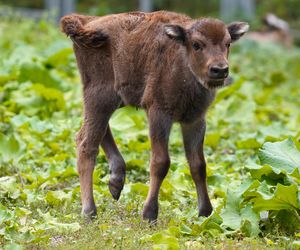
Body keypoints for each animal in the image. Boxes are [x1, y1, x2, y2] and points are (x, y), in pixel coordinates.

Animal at [60, 10, 248, 222]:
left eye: (228, 43)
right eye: (196, 44)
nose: (220, 69)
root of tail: (87, 21)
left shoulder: (195, 120)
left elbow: (198, 165)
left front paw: (205, 212)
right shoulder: (159, 114)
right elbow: (161, 162)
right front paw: (149, 213)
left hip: (115, 98)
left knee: (96, 131)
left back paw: (116, 182)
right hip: (99, 95)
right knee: (86, 143)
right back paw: (89, 211)